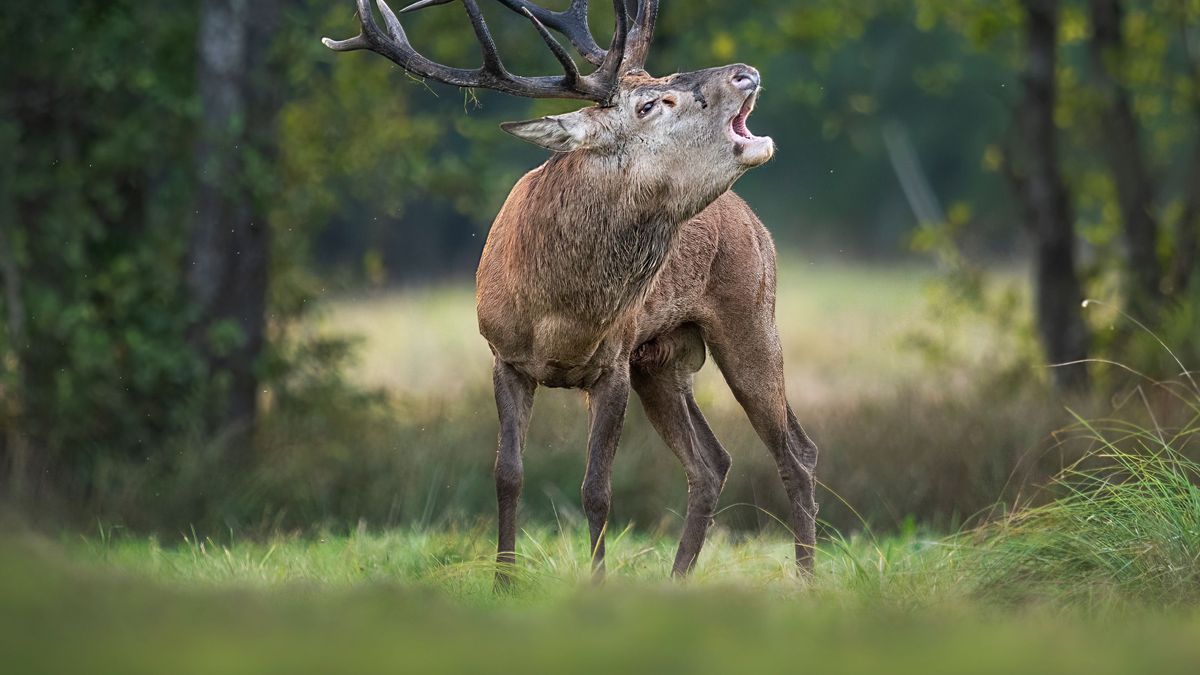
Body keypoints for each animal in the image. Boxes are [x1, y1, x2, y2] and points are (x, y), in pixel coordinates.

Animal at [324, 0, 820, 578]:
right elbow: (508, 474)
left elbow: (596, 489)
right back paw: (678, 580)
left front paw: (596, 582)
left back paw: (806, 581)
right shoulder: (505, 355)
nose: (745, 73)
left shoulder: (613, 363)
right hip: (663, 360)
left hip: (750, 315)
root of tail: (754, 221)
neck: (561, 318)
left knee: (795, 452)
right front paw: (504, 579)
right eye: (652, 102)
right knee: (711, 461)